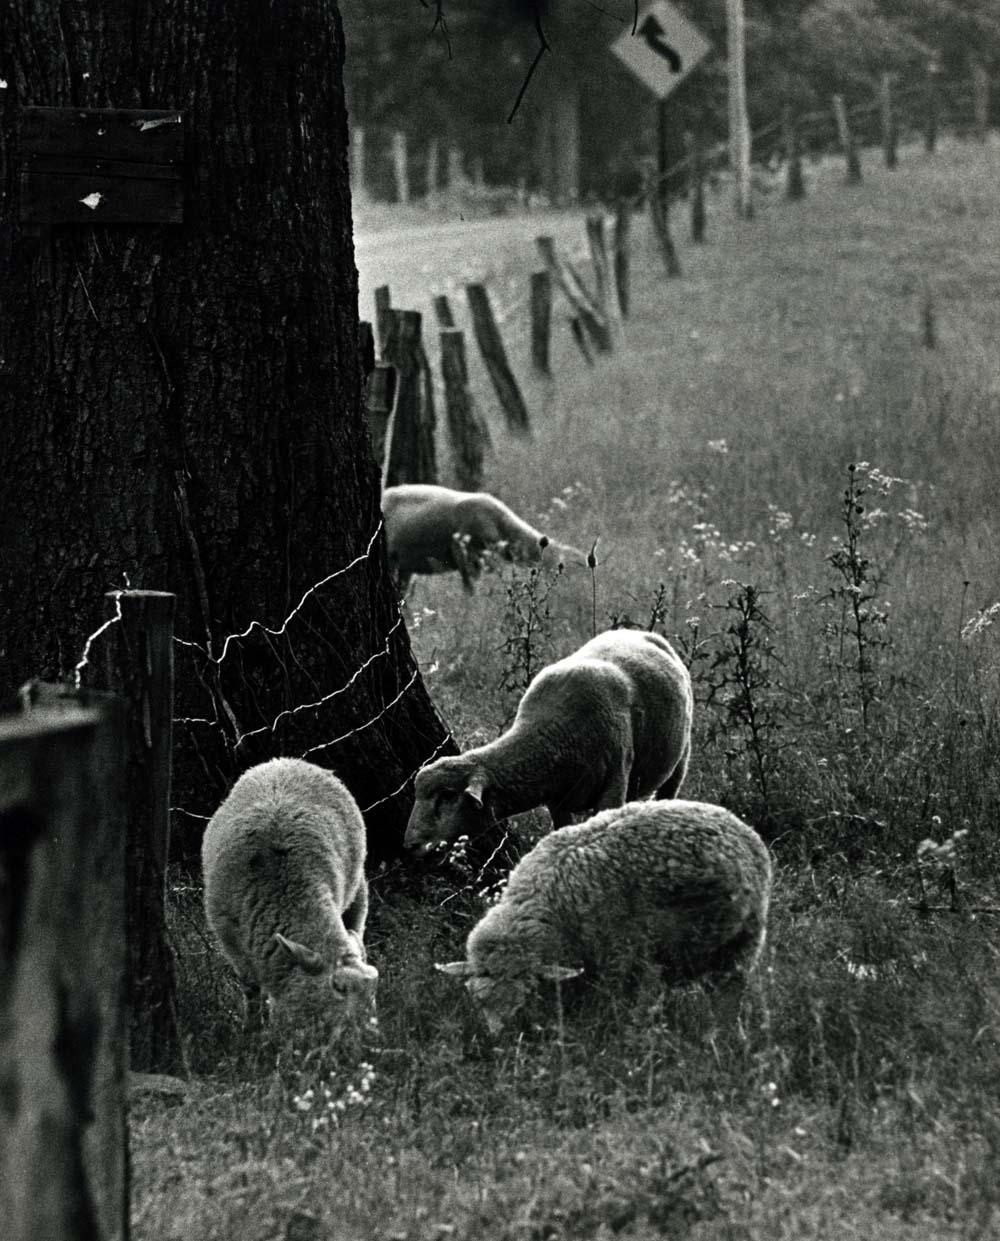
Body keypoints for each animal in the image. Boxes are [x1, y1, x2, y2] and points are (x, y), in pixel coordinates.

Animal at [202, 754, 377, 1037]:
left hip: (358, 889)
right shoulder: (228, 935)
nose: (372, 1039)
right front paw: (253, 1030)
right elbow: (250, 987)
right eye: (338, 987)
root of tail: (285, 760)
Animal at [404, 630, 694, 853]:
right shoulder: (557, 799)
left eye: (448, 795)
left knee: (669, 790)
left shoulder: (615, 780)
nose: (409, 845)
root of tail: (638, 632)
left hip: (681, 757)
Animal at [439, 799, 774, 1032]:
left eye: (527, 996)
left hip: (742, 940)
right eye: (477, 999)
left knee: (729, 994)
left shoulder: (620, 955)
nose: (501, 1040)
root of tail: (734, 822)